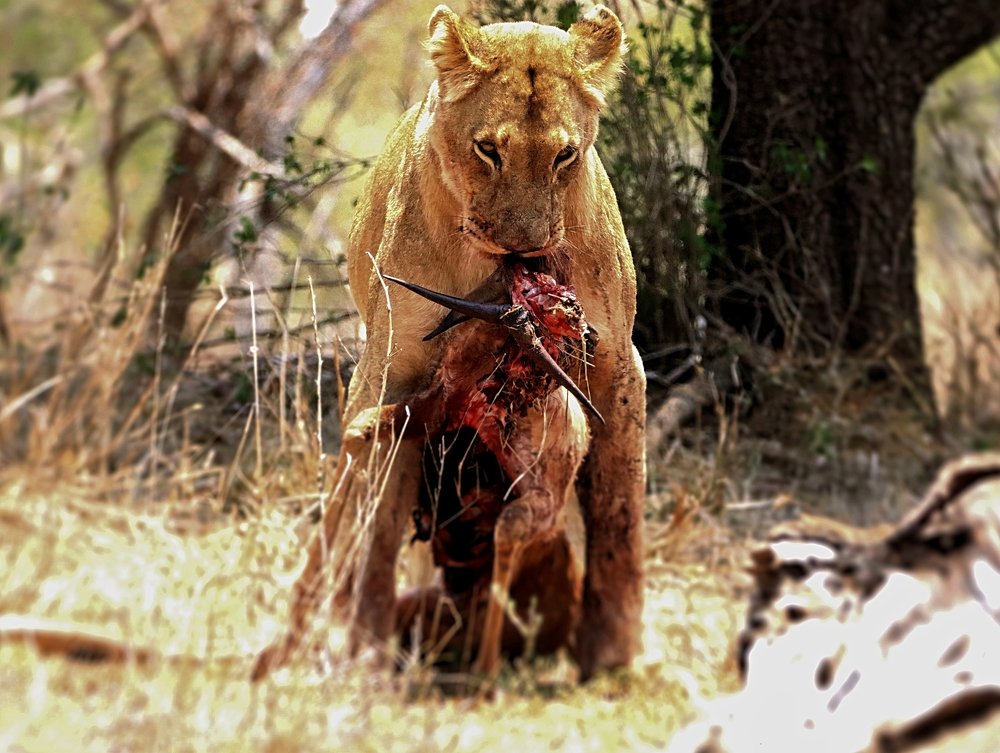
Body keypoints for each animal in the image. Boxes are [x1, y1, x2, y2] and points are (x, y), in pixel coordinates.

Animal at [253, 3, 646, 682]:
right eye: (488, 150)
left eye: (565, 155)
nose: (524, 247)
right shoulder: (397, 365)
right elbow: (378, 515)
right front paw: (367, 644)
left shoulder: (619, 362)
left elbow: (619, 508)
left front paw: (610, 651)